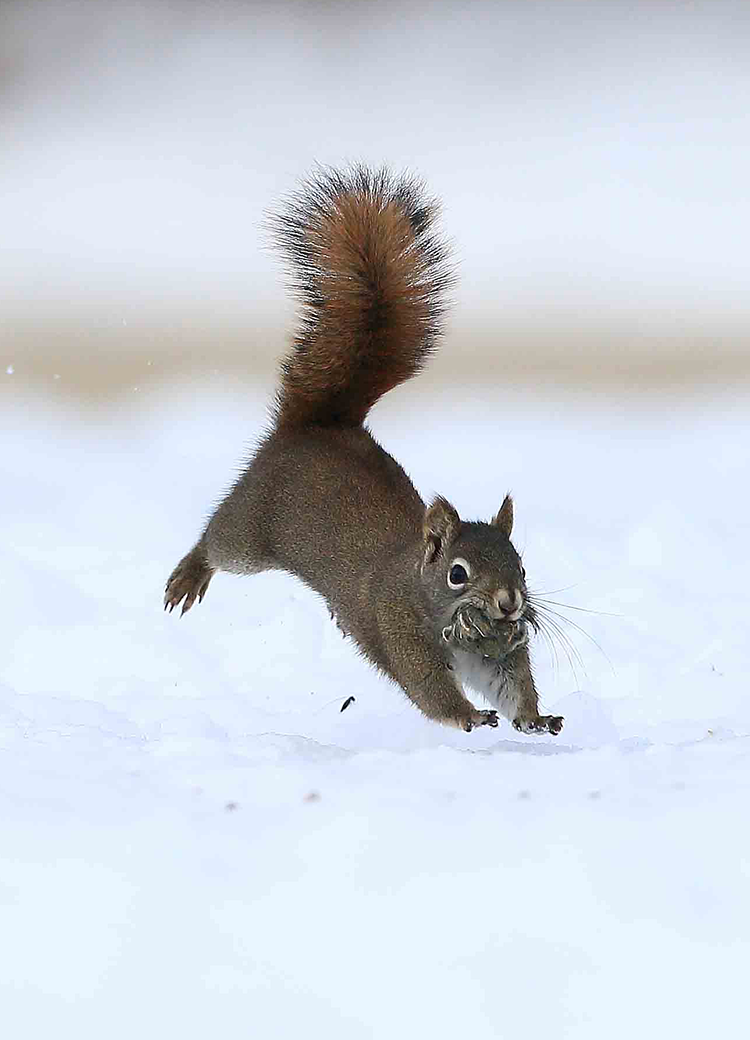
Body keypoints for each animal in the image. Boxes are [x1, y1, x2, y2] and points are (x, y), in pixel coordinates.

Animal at [165, 165, 563, 737]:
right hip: (251, 531)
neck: (422, 589)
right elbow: (432, 693)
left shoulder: (495, 653)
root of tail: (321, 425)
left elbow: (513, 684)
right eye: (458, 573)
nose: (510, 604)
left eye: (522, 567)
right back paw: (189, 574)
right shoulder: (401, 636)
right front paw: (469, 715)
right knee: (216, 541)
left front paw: (534, 717)